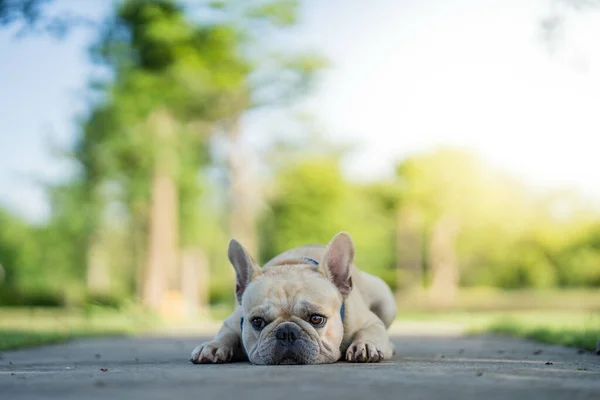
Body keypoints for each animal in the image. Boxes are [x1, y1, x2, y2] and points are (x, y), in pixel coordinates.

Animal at [190, 231, 396, 366]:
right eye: (257, 322)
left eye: (317, 319)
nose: (286, 332)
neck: (293, 264)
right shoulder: (232, 322)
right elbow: (225, 334)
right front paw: (213, 346)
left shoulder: (371, 322)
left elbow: (371, 331)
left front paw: (365, 345)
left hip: (387, 303)